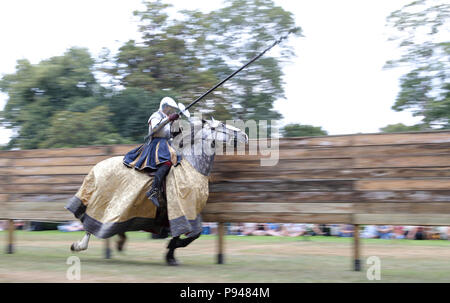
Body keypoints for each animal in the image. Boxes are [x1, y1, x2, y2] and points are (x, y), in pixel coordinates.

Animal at [66, 118, 248, 266]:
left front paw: (171, 256)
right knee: (91, 225)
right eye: (220, 126)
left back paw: (119, 242)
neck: (193, 166)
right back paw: (79, 245)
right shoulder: (181, 207)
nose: (244, 135)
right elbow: (185, 235)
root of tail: (97, 167)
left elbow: (190, 235)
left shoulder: (190, 210)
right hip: (103, 203)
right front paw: (171, 251)